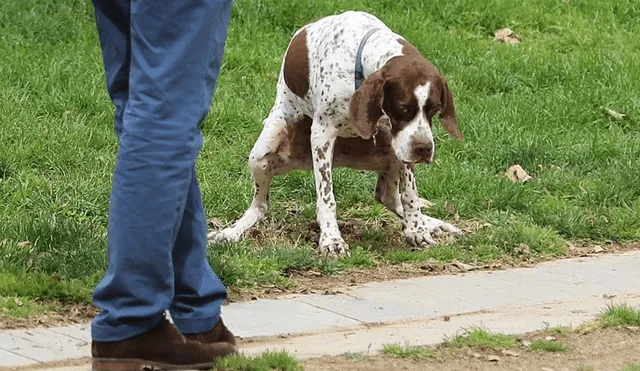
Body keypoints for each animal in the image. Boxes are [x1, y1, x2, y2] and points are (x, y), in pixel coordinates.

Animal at [210, 10, 464, 256]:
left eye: (434, 110)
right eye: (403, 109)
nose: (424, 149)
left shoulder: (402, 142)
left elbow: (410, 195)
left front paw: (418, 229)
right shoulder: (322, 134)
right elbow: (326, 198)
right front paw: (331, 240)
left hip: (391, 150)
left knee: (389, 197)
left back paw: (430, 222)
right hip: (261, 154)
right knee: (260, 206)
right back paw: (231, 232)